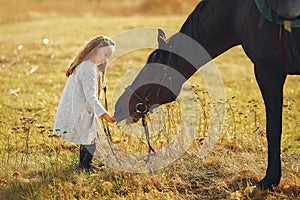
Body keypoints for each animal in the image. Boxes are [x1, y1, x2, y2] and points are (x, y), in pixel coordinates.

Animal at [113, 0, 300, 191]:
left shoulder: (269, 71)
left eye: (150, 73)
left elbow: (274, 129)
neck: (237, 14)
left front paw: (269, 180)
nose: (119, 107)